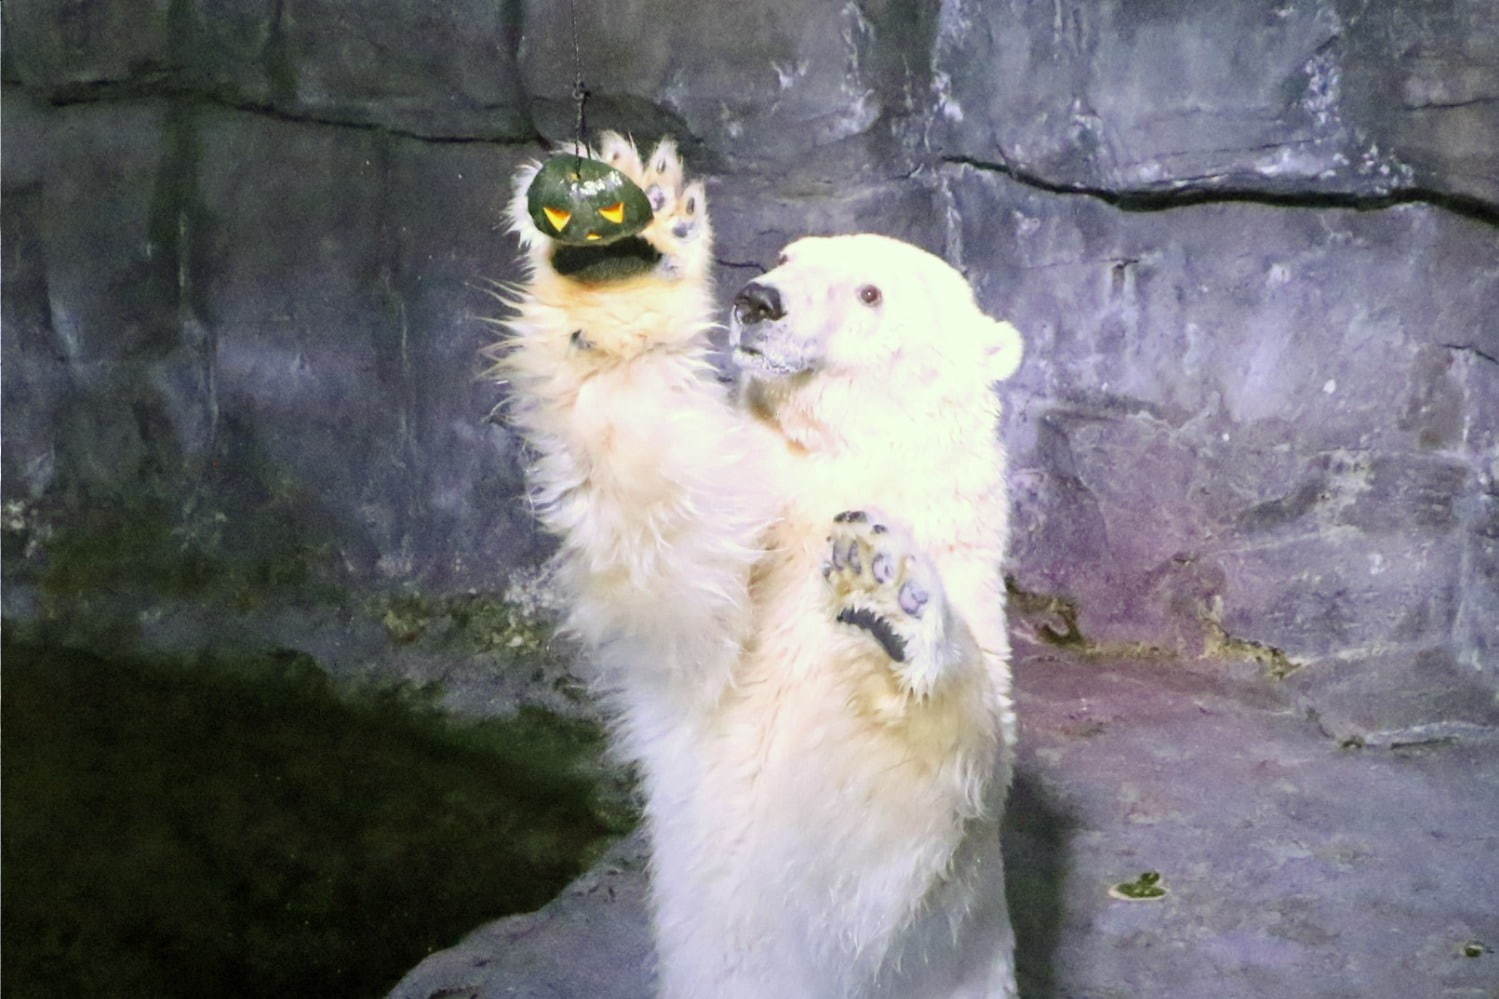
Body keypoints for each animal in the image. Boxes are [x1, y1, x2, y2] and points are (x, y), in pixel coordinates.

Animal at [497, 134, 1025, 996]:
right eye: (784, 256)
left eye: (870, 291)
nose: (758, 301)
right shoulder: (736, 594)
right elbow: (671, 556)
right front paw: (631, 248)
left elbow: (892, 811)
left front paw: (887, 589)